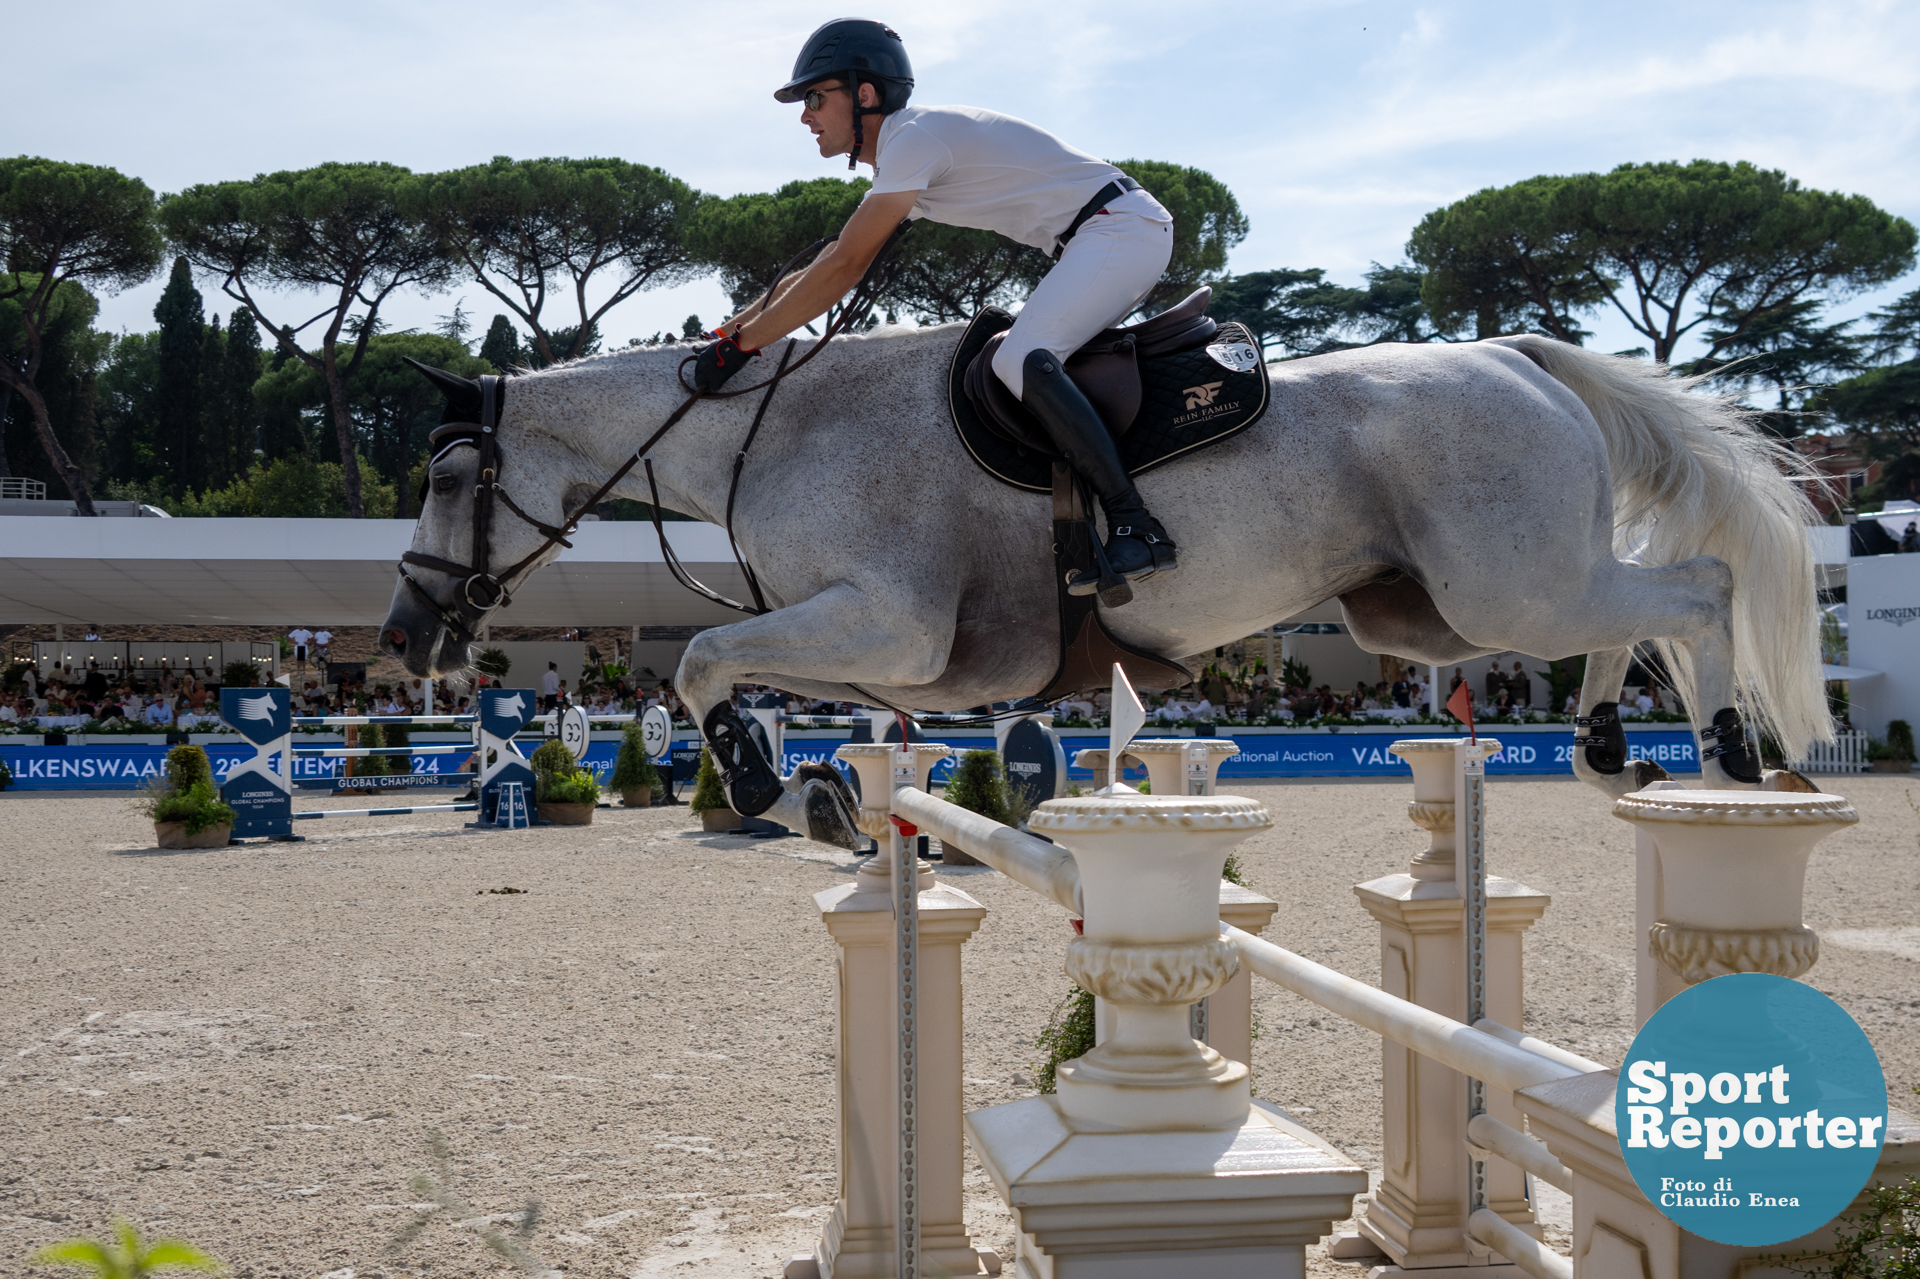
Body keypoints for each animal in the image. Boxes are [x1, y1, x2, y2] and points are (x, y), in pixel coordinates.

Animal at [378, 326, 1827, 844]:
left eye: (445, 477)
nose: (406, 636)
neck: (767, 431)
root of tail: (1520, 354)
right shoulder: (888, 646)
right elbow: (746, 674)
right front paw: (815, 784)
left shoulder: (895, 623)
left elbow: (698, 662)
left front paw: (759, 783)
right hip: (1458, 601)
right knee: (1647, 599)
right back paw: (1609, 742)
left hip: (1502, 589)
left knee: (1695, 590)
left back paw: (1727, 750)